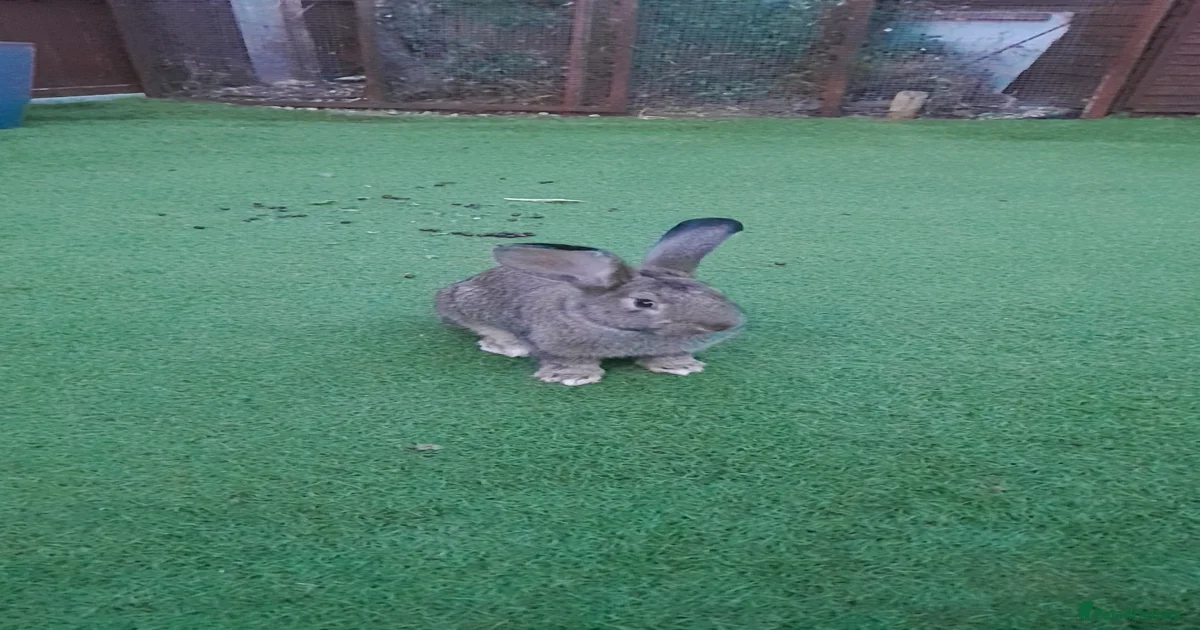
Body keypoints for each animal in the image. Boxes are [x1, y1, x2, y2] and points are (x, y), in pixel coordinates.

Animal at [434, 217, 746, 385]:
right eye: (644, 303)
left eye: (707, 288)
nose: (729, 323)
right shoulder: (555, 343)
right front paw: (572, 377)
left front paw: (681, 366)